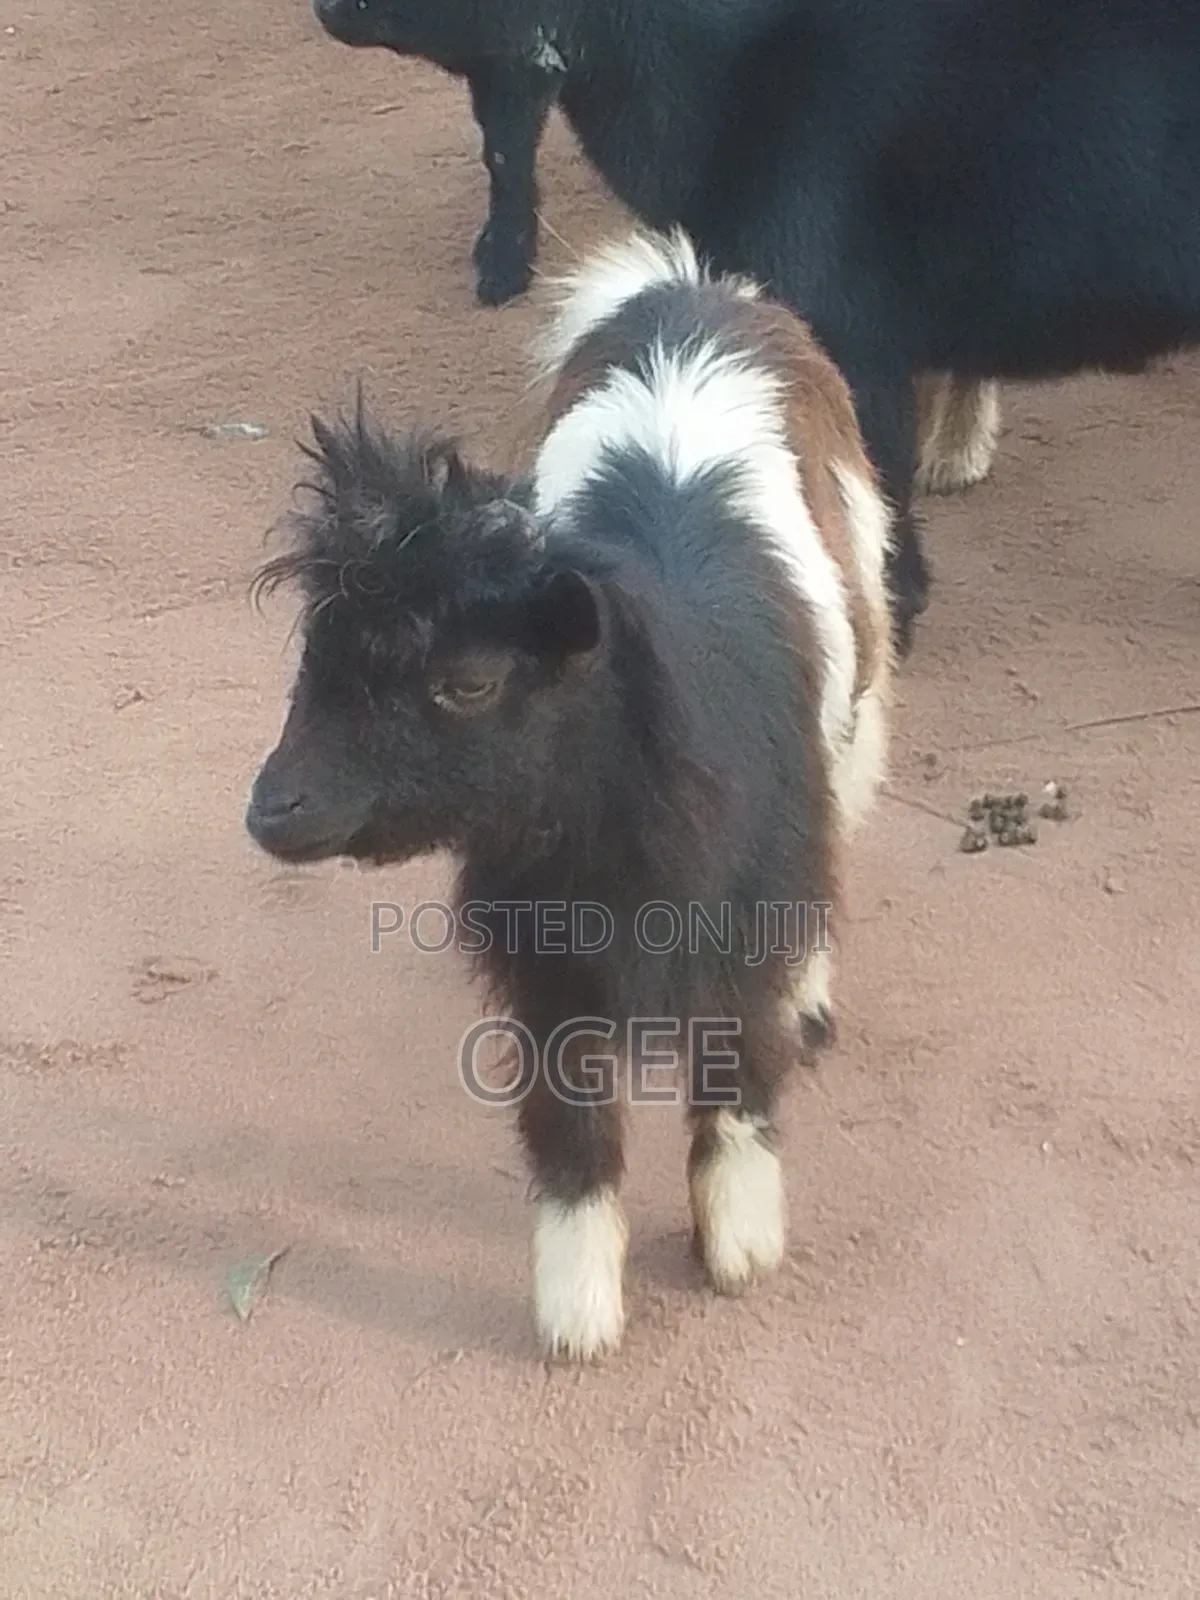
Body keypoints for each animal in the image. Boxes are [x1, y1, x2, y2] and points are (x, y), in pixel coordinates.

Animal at [245, 225, 893, 1361]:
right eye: (312, 662)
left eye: (467, 682)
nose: (270, 806)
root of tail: (694, 288)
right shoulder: (546, 955)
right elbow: (570, 1120)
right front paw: (578, 1313)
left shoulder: (748, 907)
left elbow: (739, 1071)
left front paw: (738, 1245)